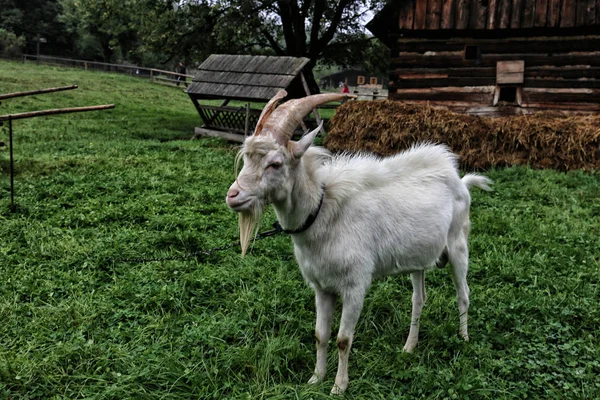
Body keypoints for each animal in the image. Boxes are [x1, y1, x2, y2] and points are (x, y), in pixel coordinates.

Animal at [225, 90, 492, 394]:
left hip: (459, 245)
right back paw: (409, 347)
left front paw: (338, 387)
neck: (323, 210)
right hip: (419, 259)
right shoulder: (322, 287)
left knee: (463, 294)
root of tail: (461, 180)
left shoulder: (355, 284)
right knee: (419, 298)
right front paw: (315, 378)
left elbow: (343, 339)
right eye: (246, 159)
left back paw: (463, 338)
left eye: (275, 163)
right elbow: (320, 334)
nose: (233, 196)